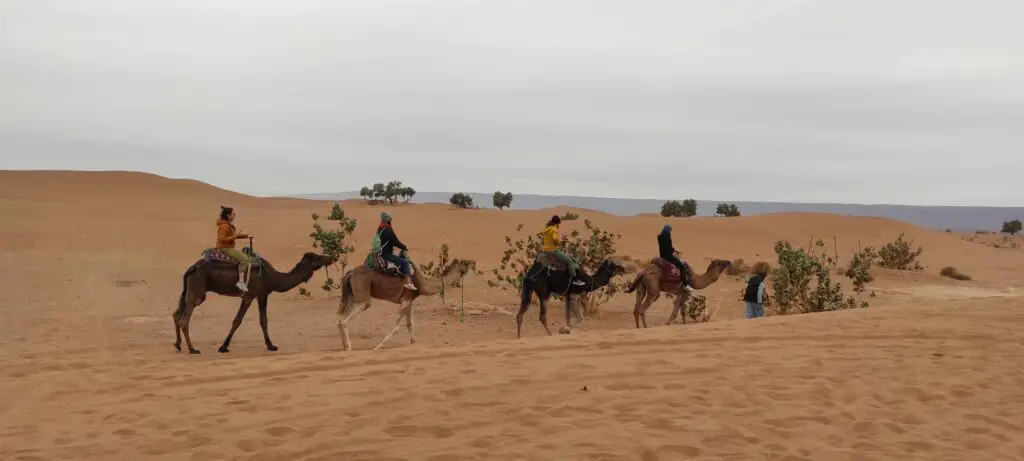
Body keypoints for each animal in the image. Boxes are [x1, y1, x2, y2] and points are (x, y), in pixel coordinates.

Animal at [174, 248, 333, 352]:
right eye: (318, 257)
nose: (330, 257)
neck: (274, 278)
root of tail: (192, 268)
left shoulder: (257, 296)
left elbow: (258, 320)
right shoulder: (256, 295)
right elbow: (248, 320)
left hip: (189, 290)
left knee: (176, 314)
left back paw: (178, 345)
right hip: (197, 291)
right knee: (184, 319)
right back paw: (192, 349)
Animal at [339, 257, 475, 350]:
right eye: (465, 263)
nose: (473, 262)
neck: (423, 283)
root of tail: (350, 273)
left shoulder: (409, 301)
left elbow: (410, 324)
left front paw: (413, 344)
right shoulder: (405, 300)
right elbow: (397, 326)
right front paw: (378, 347)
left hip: (350, 295)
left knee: (340, 318)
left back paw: (344, 347)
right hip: (363, 298)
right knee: (344, 319)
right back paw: (349, 347)